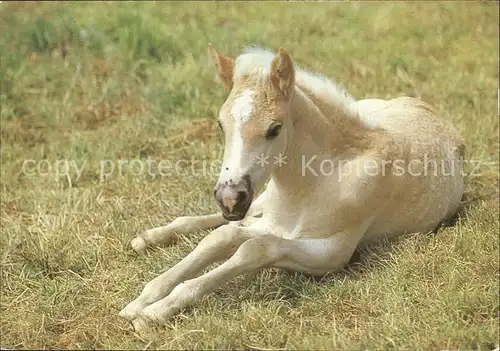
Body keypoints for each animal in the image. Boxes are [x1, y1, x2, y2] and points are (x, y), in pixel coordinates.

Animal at [119, 44, 466, 332]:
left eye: (274, 128)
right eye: (220, 124)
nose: (230, 198)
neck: (315, 184)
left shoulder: (332, 253)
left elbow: (254, 248)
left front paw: (154, 312)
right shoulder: (269, 222)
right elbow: (222, 236)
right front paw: (142, 301)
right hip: (262, 199)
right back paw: (150, 237)